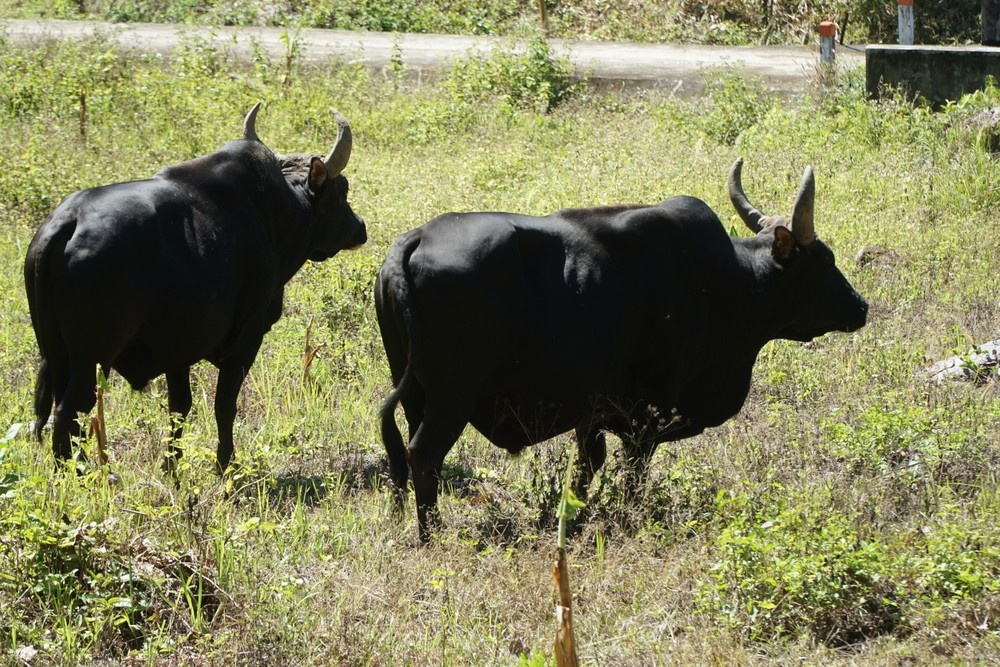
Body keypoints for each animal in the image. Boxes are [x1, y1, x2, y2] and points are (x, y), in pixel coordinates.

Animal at [25, 102, 366, 472]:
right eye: (342, 189)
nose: (359, 228)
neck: (271, 213)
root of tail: (67, 222)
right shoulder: (245, 341)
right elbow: (224, 406)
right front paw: (226, 464)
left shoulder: (177, 350)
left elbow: (179, 407)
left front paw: (171, 467)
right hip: (91, 358)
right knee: (69, 414)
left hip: (56, 355)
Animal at [376, 160, 868, 544]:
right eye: (824, 261)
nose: (860, 307)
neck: (725, 281)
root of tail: (418, 238)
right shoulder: (647, 416)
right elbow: (631, 474)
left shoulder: (591, 413)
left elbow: (585, 469)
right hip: (451, 399)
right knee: (424, 455)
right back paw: (431, 534)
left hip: (415, 391)